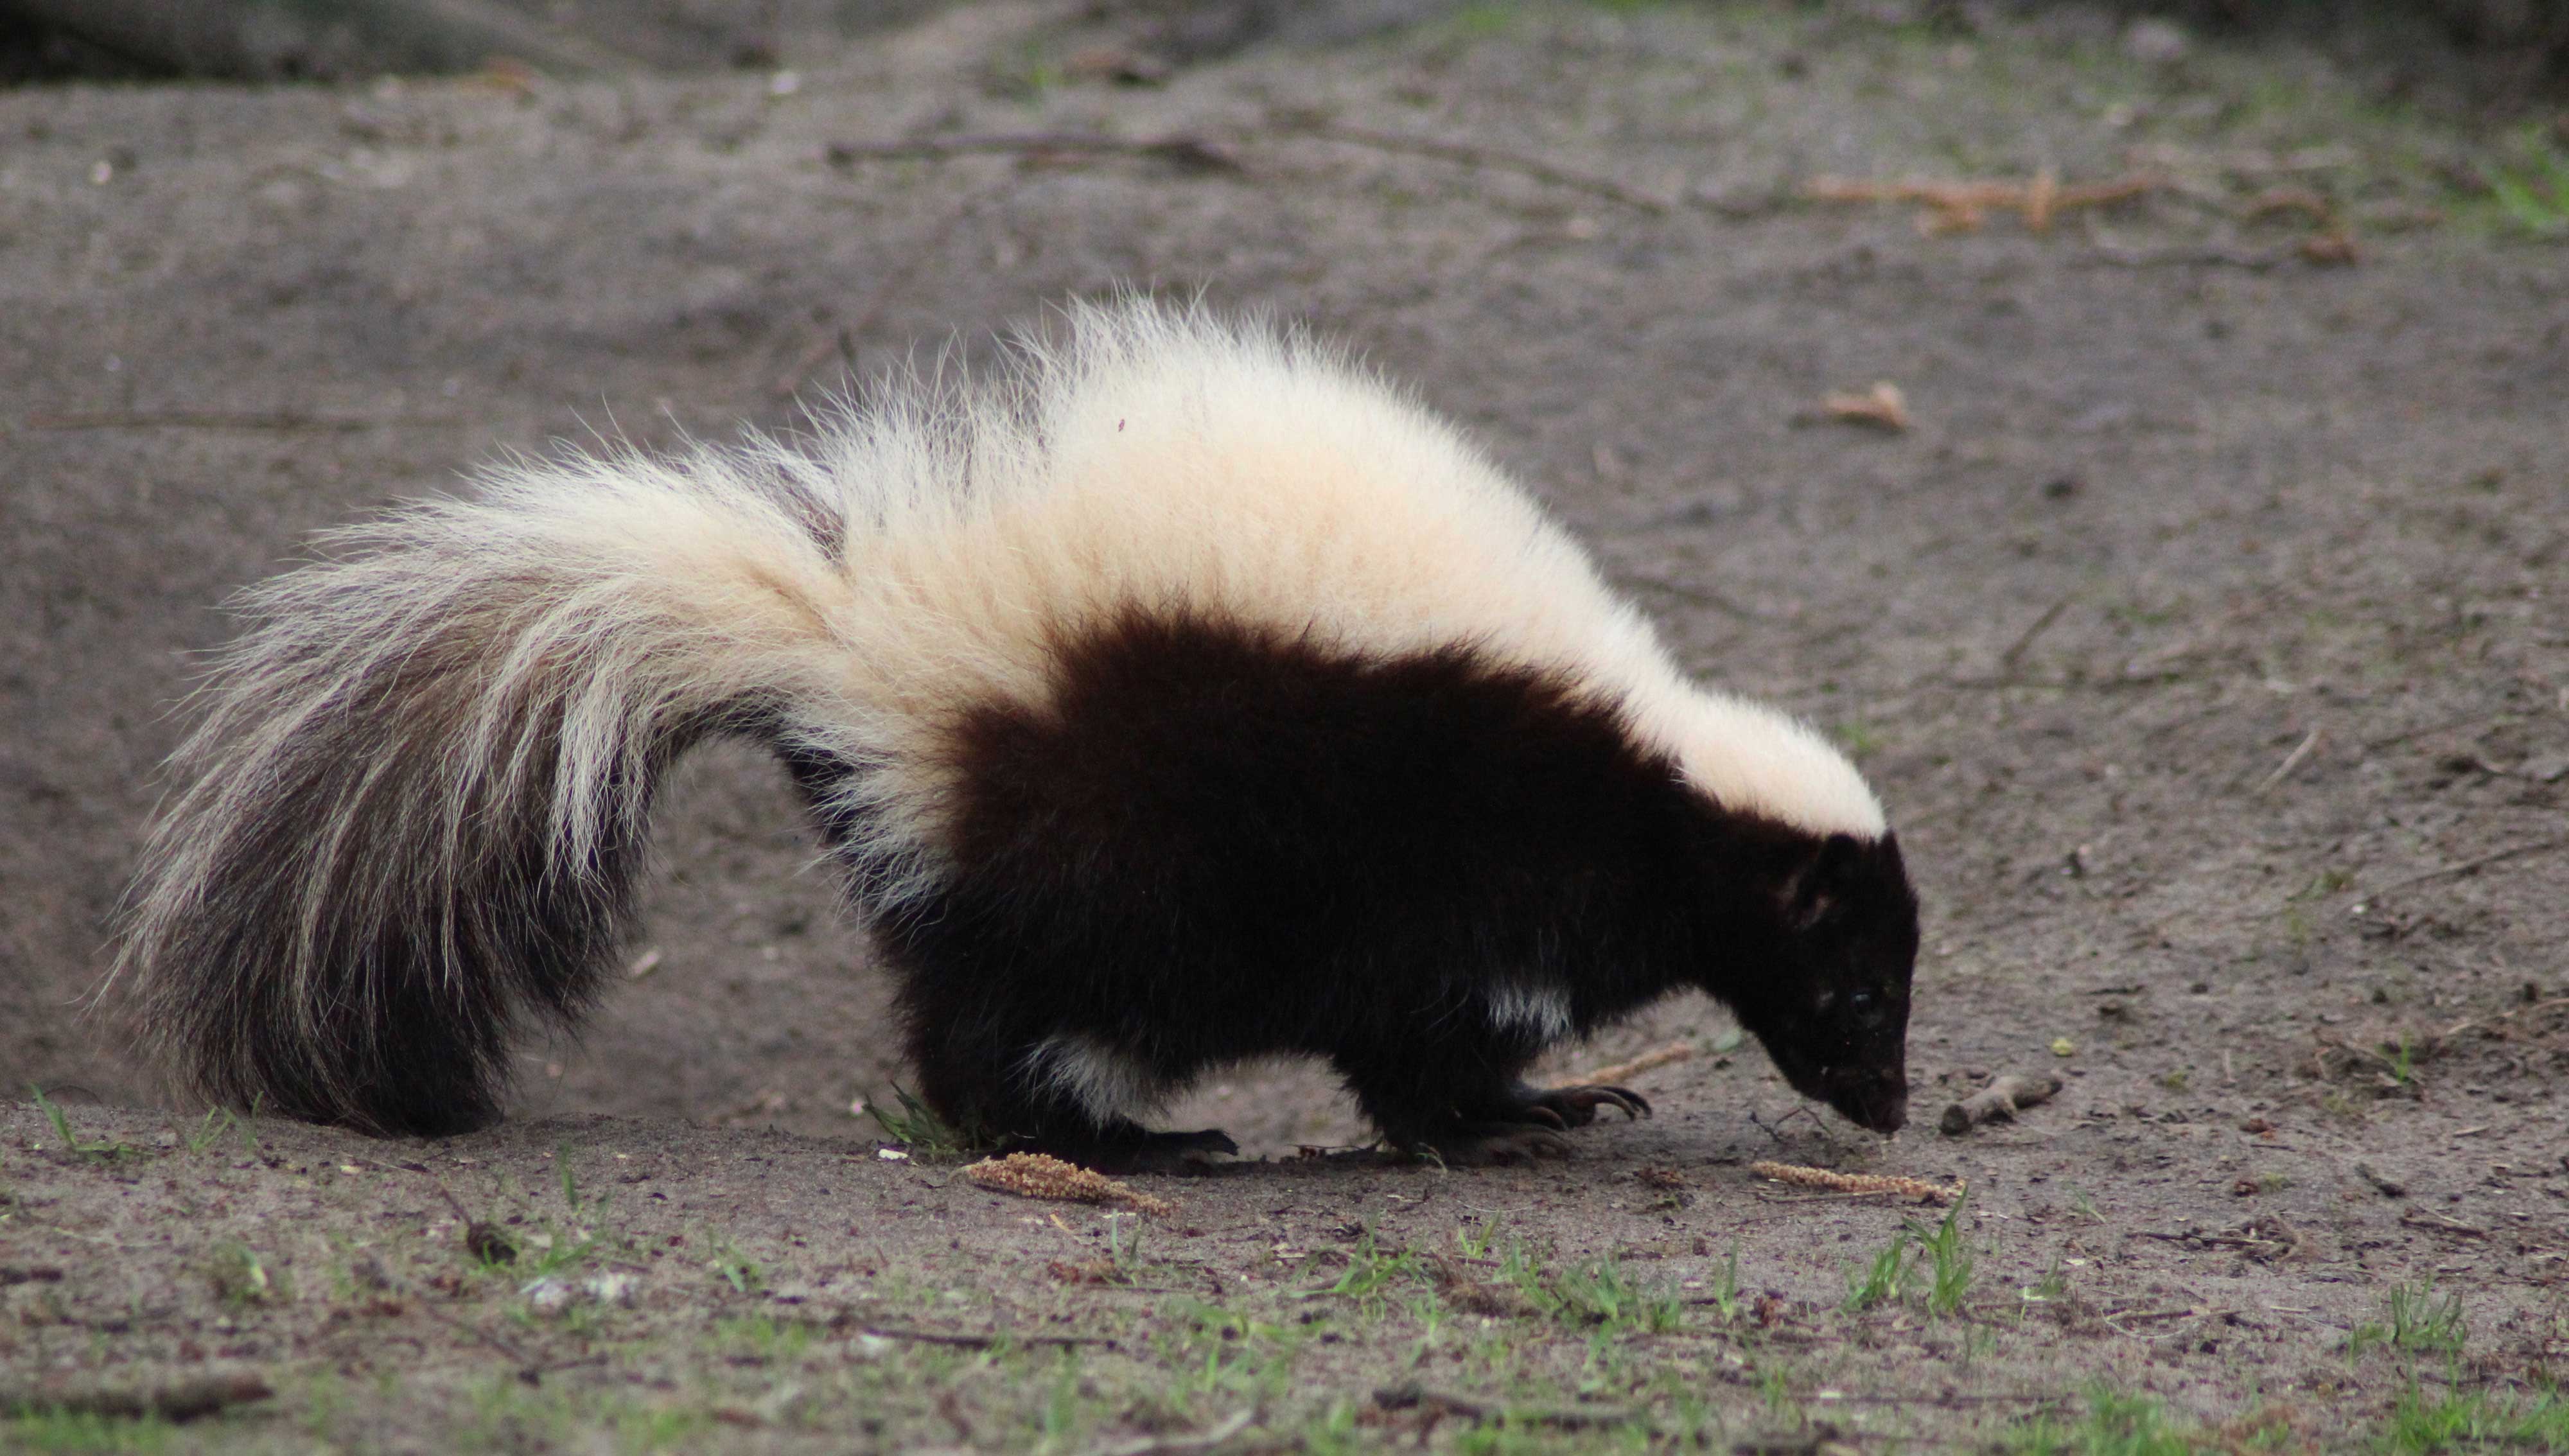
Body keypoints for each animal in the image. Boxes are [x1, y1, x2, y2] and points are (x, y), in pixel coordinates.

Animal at [121, 301, 1922, 1166]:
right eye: (1853, 984)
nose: (1890, 1105)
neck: (1654, 767)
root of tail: (861, 645)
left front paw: (1531, 1108)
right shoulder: (1467, 855)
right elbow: (1426, 1029)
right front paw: (1521, 1116)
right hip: (1108, 853)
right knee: (1008, 1019)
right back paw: (1129, 1136)